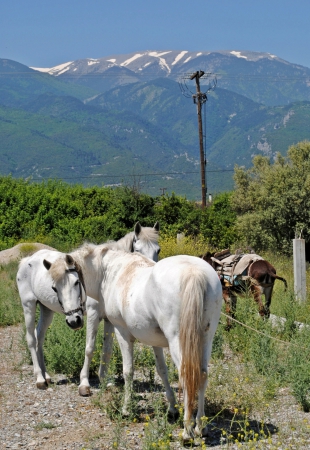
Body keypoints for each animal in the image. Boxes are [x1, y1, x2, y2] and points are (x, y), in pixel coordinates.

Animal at [16, 221, 160, 390]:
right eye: (137, 250)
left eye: (158, 249)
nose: (73, 321)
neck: (103, 276)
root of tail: (27, 259)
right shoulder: (93, 315)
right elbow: (89, 348)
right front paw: (84, 383)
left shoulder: (109, 320)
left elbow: (107, 349)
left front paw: (105, 380)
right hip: (29, 306)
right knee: (31, 339)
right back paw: (39, 378)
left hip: (47, 310)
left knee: (40, 337)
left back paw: (46, 376)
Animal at [43, 244, 223, 442]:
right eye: (54, 288)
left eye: (76, 282)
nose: (73, 321)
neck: (110, 272)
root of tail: (194, 272)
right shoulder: (155, 341)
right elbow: (162, 371)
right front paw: (172, 409)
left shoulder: (122, 332)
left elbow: (128, 371)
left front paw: (126, 409)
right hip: (205, 339)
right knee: (202, 375)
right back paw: (200, 427)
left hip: (178, 341)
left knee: (186, 375)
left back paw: (187, 432)